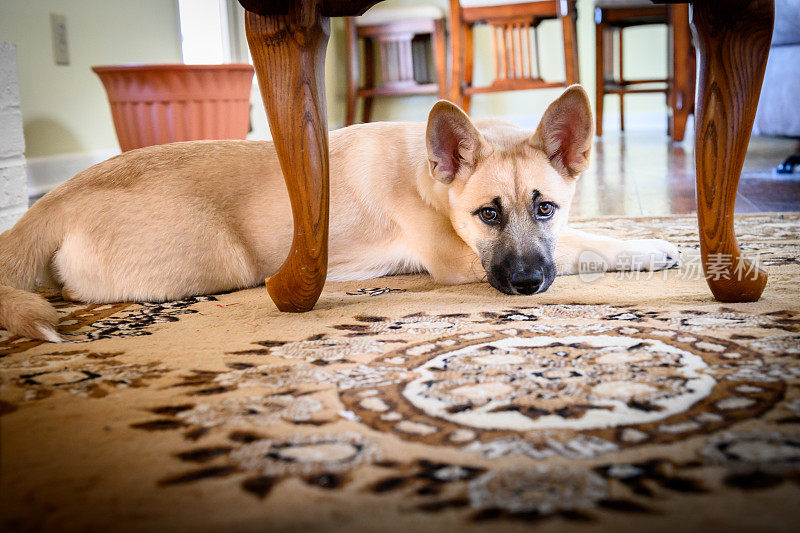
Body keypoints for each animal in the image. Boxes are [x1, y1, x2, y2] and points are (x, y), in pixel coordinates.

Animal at [0, 85, 680, 338]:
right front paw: (649, 248)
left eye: (545, 207)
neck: (428, 176)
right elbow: (588, 243)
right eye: (487, 216)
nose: (526, 285)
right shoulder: (461, 260)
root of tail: (56, 197)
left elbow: (582, 234)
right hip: (216, 261)